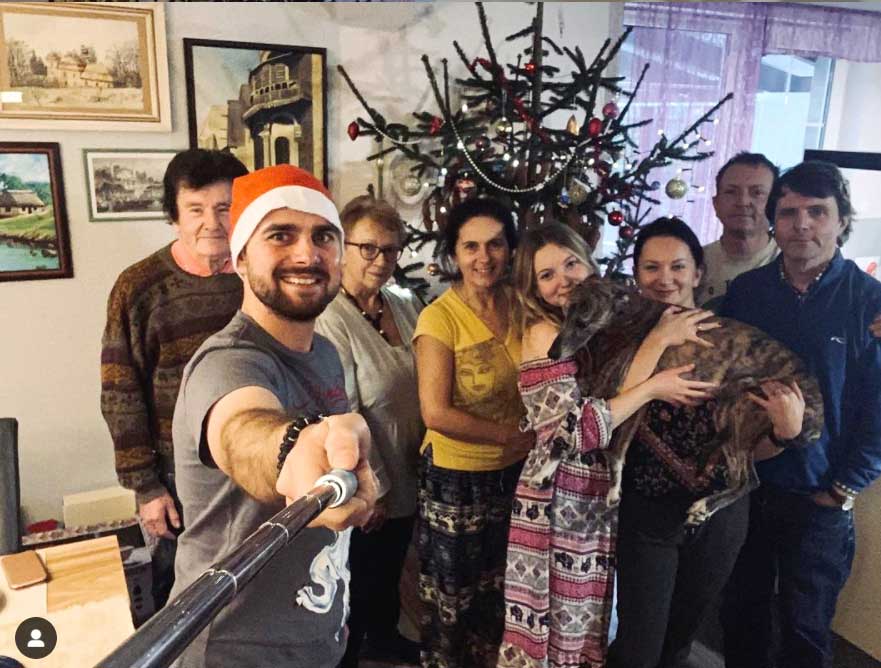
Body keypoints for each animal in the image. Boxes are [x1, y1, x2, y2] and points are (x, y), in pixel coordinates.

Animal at [548, 278, 824, 525]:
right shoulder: (611, 392)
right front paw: (548, 468)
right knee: (743, 478)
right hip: (727, 413)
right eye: (564, 314)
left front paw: (611, 489)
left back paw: (705, 506)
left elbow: (610, 445)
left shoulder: (627, 391)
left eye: (583, 322)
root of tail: (816, 406)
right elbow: (574, 428)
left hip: (743, 412)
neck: (626, 316)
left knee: (748, 480)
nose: (552, 353)